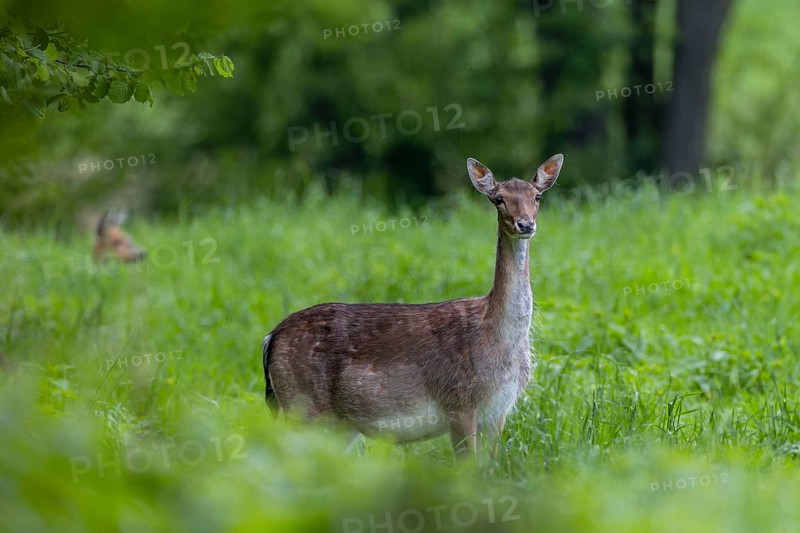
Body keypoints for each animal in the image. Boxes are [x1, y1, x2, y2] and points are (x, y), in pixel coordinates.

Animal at [262, 154, 563, 459]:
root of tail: (270, 338)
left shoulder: (498, 410)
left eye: (537, 196)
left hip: (337, 425)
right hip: (303, 407)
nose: (525, 225)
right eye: (499, 198)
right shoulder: (459, 403)